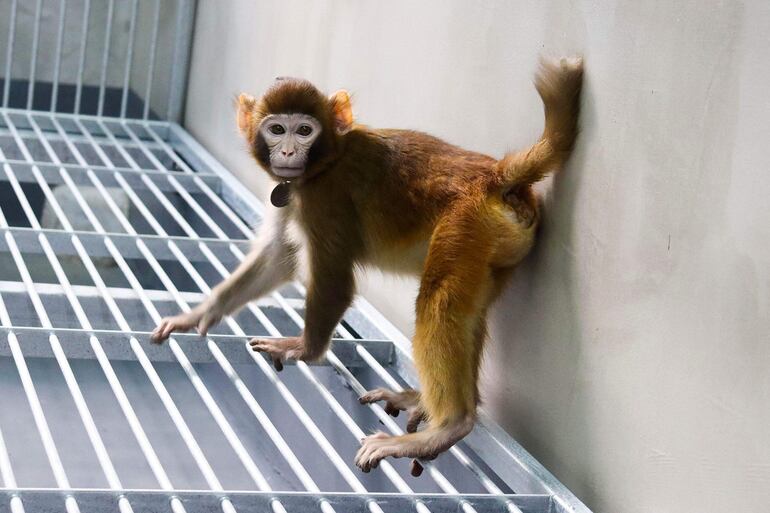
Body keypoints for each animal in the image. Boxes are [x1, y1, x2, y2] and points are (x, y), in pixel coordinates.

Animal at [150, 56, 584, 472]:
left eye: (303, 130)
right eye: (276, 129)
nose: (287, 152)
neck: (328, 160)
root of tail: (495, 176)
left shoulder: (326, 198)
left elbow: (335, 282)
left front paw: (305, 349)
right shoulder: (294, 193)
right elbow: (278, 257)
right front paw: (199, 314)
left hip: (465, 224)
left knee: (439, 303)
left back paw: (448, 426)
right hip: (494, 247)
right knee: (466, 312)